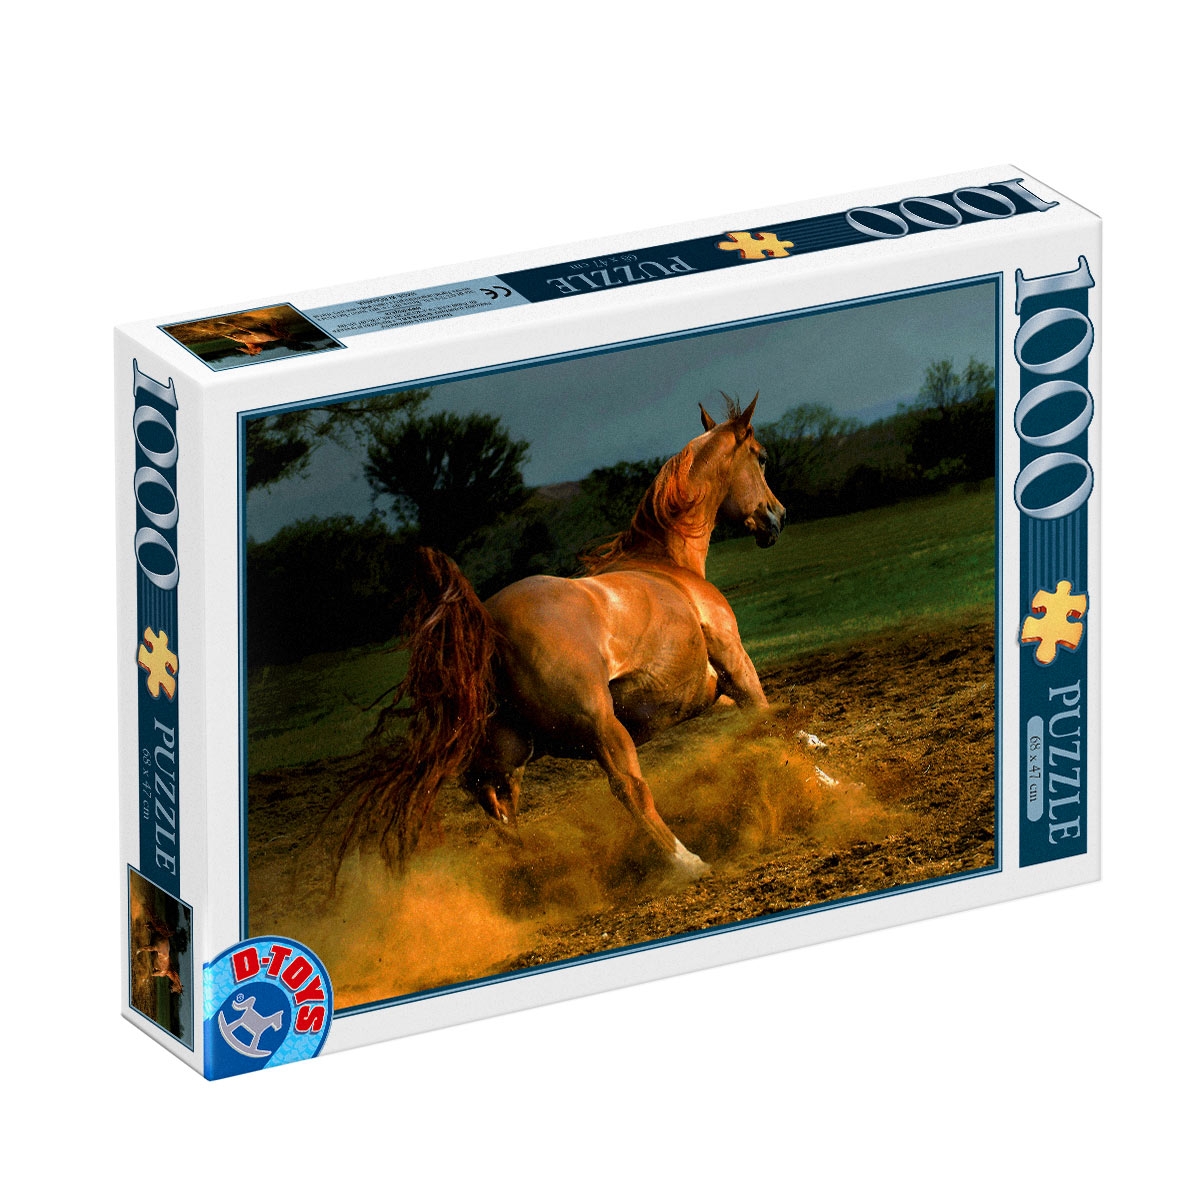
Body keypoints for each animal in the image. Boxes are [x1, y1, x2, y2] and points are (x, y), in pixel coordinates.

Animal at [342, 394, 786, 880]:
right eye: (760, 456)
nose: (777, 516)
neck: (668, 565)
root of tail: (489, 624)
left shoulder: (710, 690)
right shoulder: (734, 662)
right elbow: (769, 718)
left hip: (513, 748)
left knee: (494, 801)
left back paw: (531, 870)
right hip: (600, 728)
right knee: (627, 788)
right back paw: (685, 862)